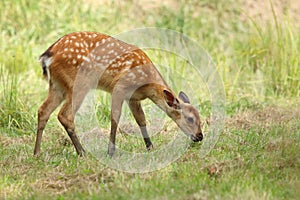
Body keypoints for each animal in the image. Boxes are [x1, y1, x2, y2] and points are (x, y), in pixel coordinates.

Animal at [34, 31, 204, 157]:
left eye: (200, 118)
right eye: (189, 118)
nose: (200, 136)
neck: (147, 84)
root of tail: (48, 55)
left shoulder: (133, 97)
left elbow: (141, 119)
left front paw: (150, 146)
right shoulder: (120, 87)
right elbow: (115, 117)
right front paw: (111, 152)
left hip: (57, 86)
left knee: (43, 110)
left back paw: (36, 153)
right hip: (79, 83)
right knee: (65, 115)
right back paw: (82, 152)